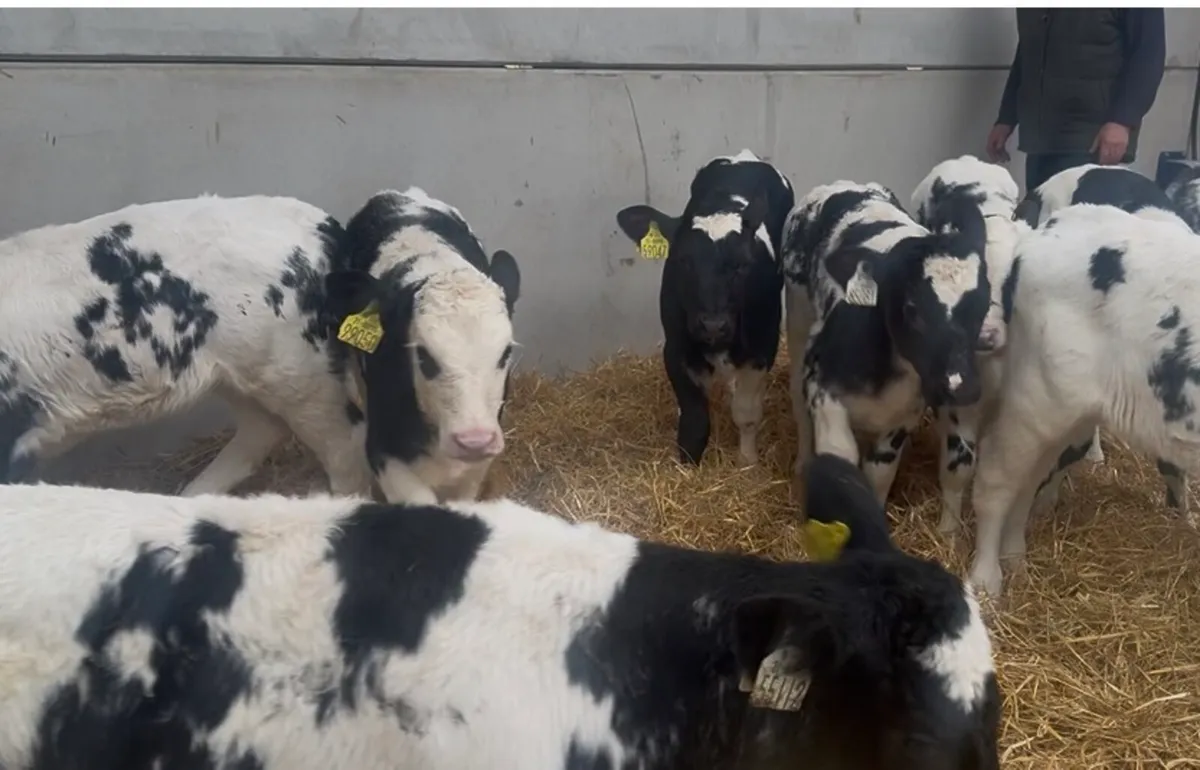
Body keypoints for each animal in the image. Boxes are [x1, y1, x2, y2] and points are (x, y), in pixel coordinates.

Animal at [615, 149, 795, 466]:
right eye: (682, 260)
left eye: (741, 265)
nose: (713, 325)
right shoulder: (676, 347)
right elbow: (694, 418)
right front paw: (687, 465)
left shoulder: (762, 349)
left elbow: (747, 413)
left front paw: (747, 461)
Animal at [781, 180, 991, 507]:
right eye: (911, 307)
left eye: (983, 305)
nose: (962, 387)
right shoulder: (819, 383)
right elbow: (840, 456)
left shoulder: (903, 418)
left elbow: (878, 474)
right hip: (798, 320)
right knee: (799, 407)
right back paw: (802, 462)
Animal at [967, 203, 1200, 598]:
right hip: (1038, 397)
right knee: (996, 480)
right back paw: (986, 579)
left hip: (1068, 412)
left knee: (1027, 481)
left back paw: (1015, 559)